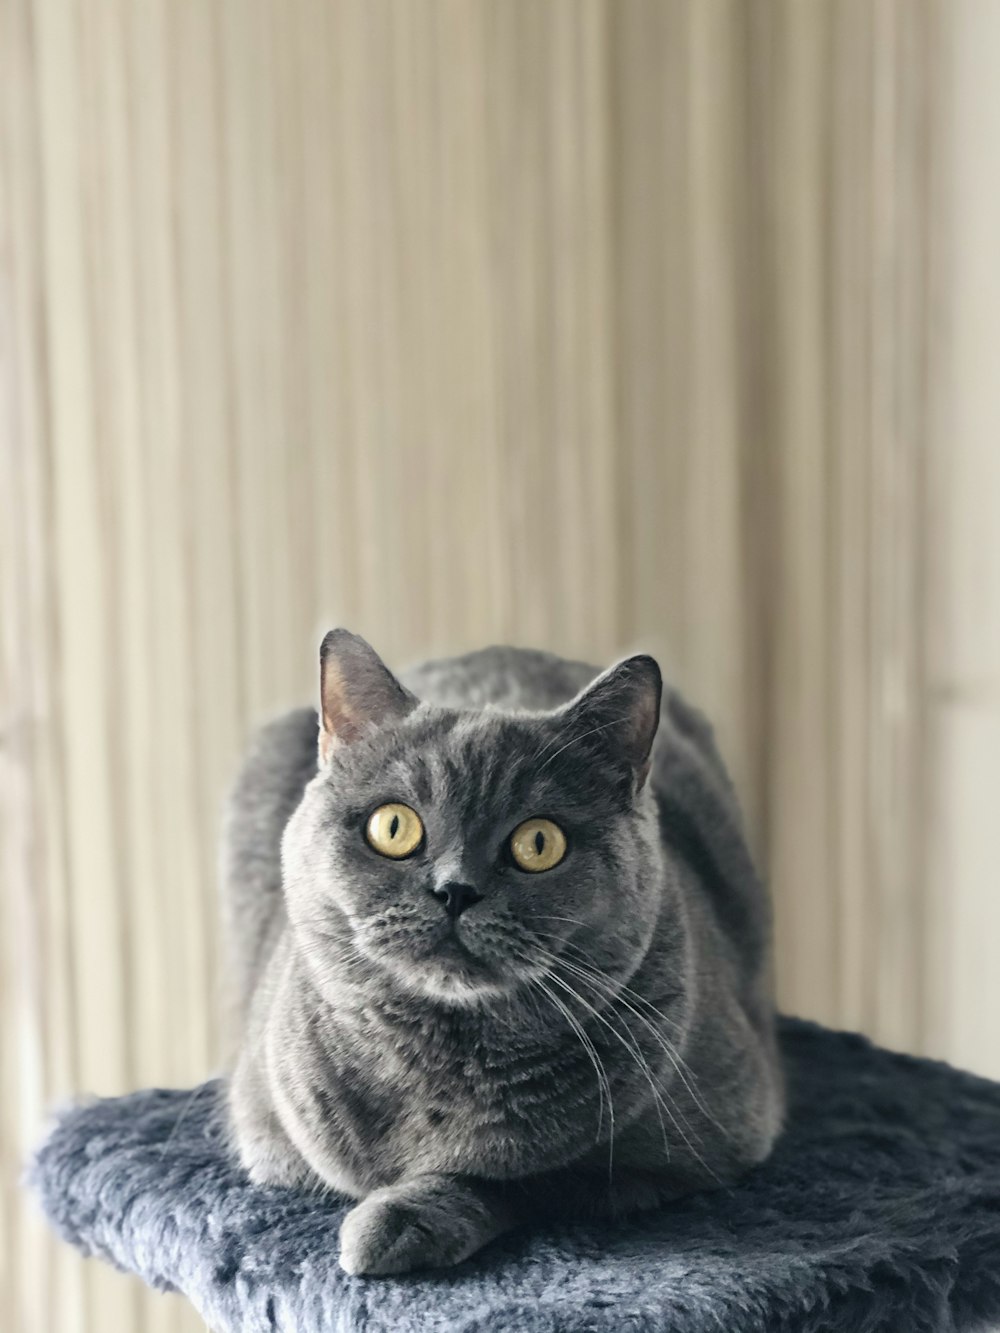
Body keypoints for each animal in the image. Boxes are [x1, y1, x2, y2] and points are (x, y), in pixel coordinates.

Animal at [225, 629, 784, 1274]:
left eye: (538, 843)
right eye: (393, 827)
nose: (455, 890)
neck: (444, 1060)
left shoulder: (704, 1147)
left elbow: (529, 1179)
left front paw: (394, 1223)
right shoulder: (267, 1135)